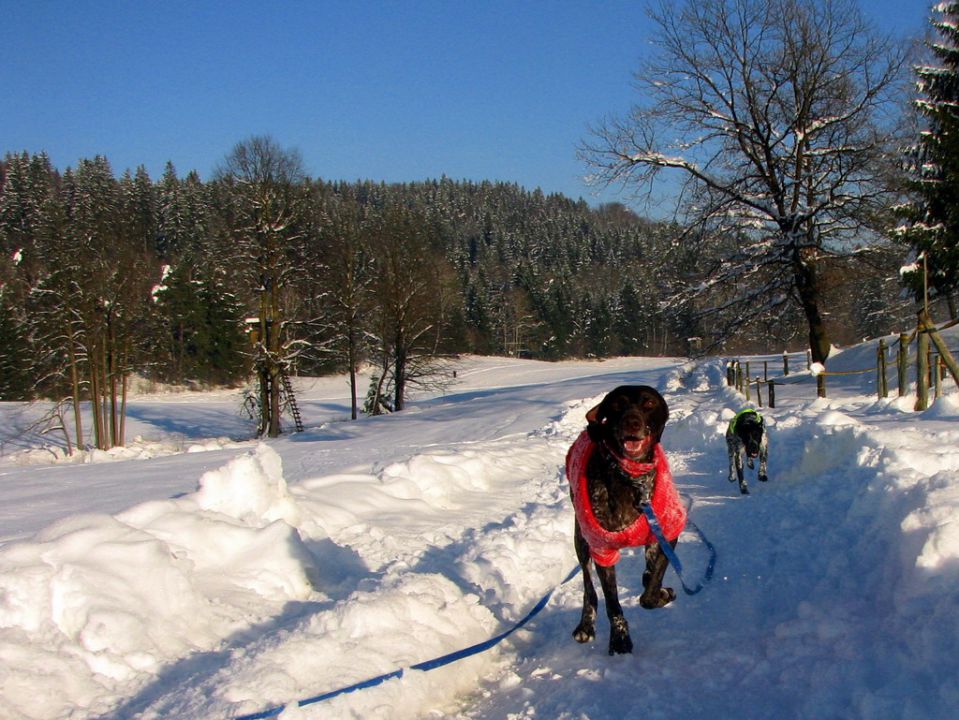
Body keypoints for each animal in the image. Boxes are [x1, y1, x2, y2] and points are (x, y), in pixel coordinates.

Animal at [568, 386, 688, 656]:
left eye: (649, 403)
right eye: (617, 404)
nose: (631, 422)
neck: (631, 479)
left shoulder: (667, 533)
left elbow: (651, 589)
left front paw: (660, 592)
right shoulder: (602, 551)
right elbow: (612, 604)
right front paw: (620, 638)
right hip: (582, 541)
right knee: (588, 588)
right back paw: (585, 625)